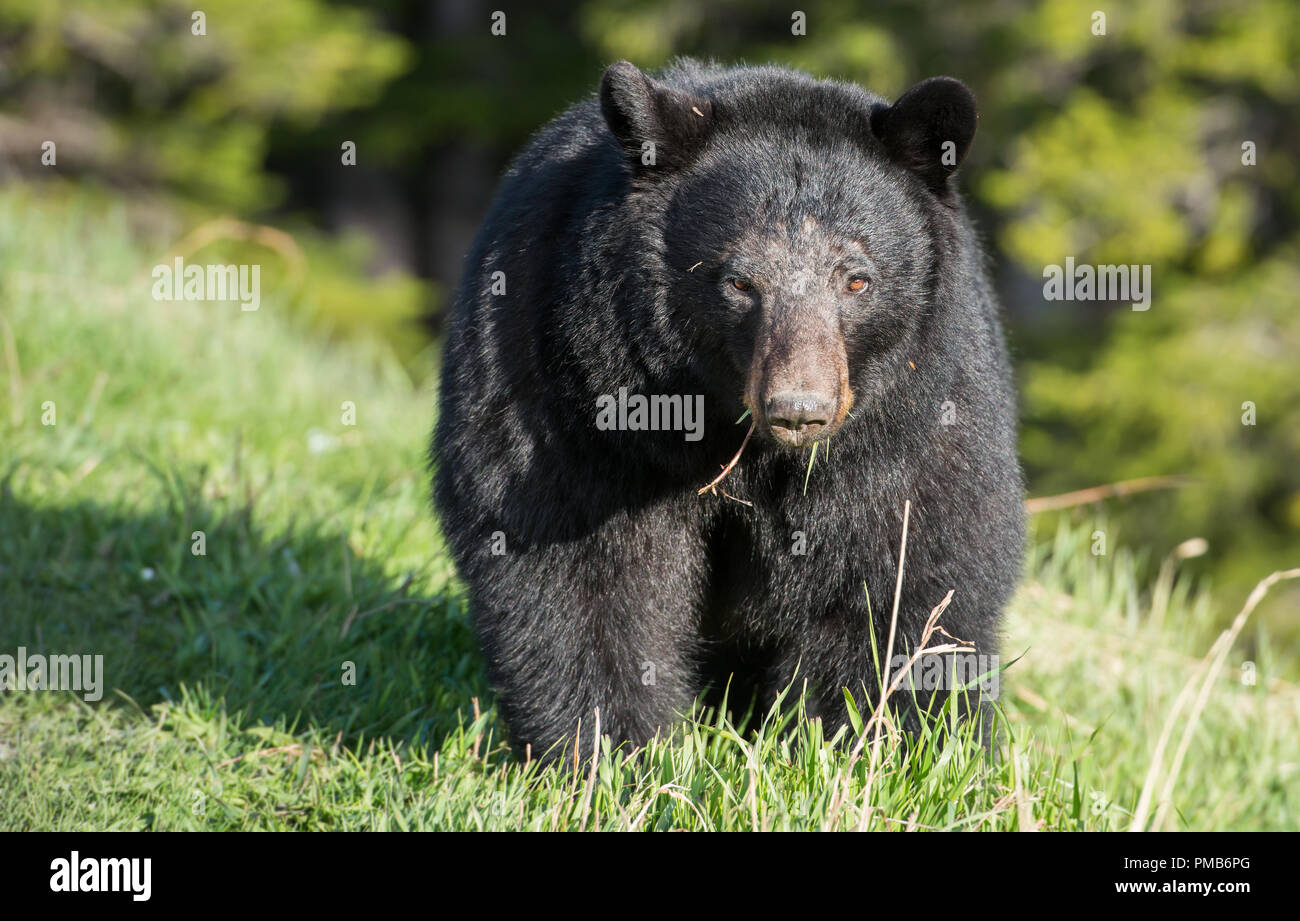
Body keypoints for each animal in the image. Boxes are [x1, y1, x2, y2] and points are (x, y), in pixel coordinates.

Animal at [436, 59, 1024, 764]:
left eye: (857, 279)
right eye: (740, 282)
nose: (799, 408)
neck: (725, 432)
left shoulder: (911, 425)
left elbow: (904, 575)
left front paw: (879, 751)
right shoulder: (574, 403)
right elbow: (577, 571)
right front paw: (610, 754)